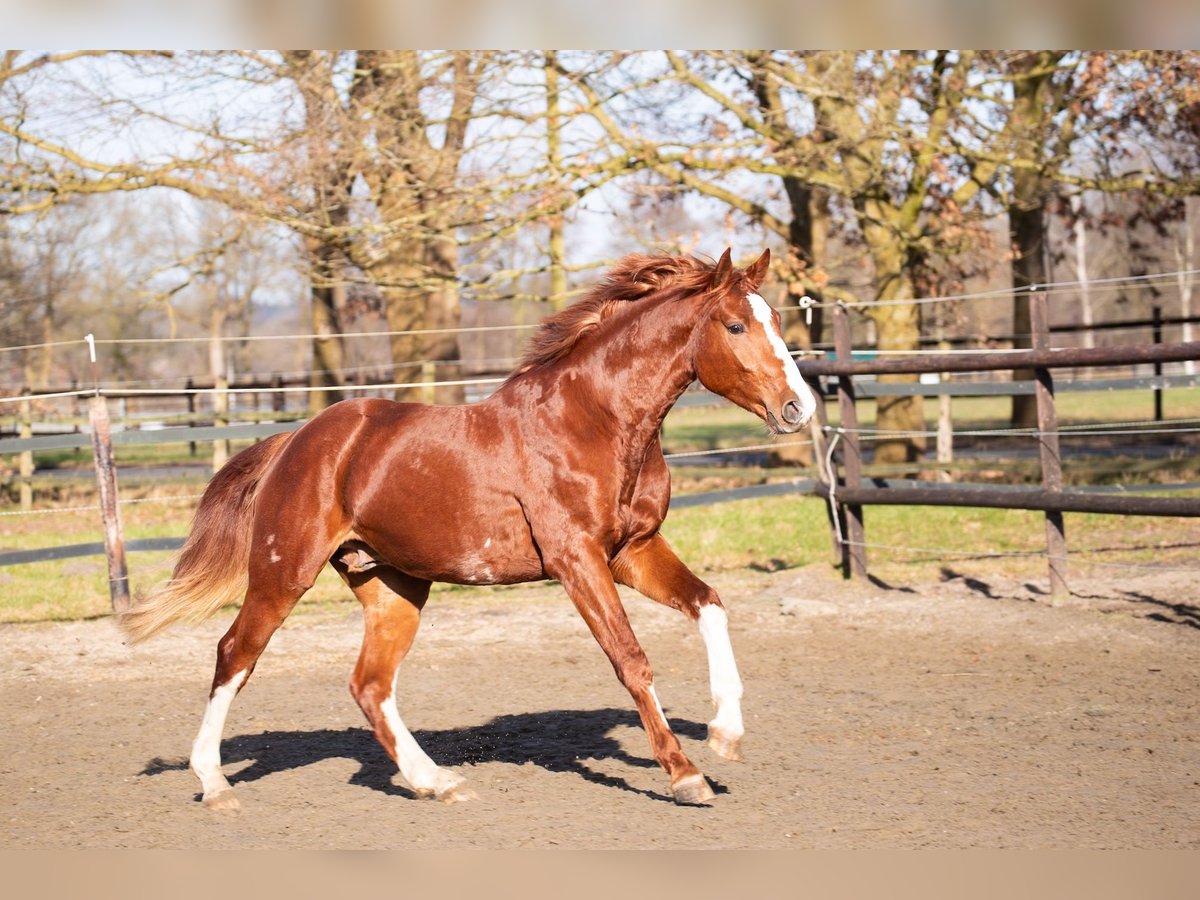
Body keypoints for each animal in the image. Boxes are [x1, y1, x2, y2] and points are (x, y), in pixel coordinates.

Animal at [119, 248, 816, 811]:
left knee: (369, 685)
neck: (595, 420)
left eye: (779, 321)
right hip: (282, 573)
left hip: (393, 587)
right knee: (235, 654)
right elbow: (631, 659)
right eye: (735, 325)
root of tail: (295, 440)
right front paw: (685, 775)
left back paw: (437, 782)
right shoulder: (578, 560)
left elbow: (709, 604)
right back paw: (215, 784)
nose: (799, 409)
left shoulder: (633, 551)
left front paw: (726, 734)